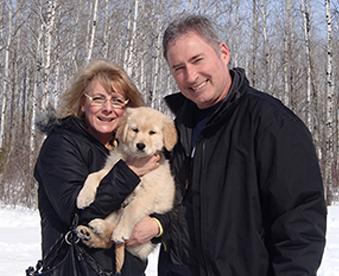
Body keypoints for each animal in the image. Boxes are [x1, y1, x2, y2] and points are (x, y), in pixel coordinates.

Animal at [75, 106, 177, 272]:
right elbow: (92, 176)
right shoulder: (112, 168)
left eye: (152, 132)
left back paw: (100, 228)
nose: (140, 145)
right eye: (135, 130)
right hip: (114, 210)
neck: (135, 159)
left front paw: (121, 232)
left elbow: (131, 210)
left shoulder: (148, 192)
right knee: (107, 241)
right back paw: (88, 233)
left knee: (112, 235)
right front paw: (84, 197)